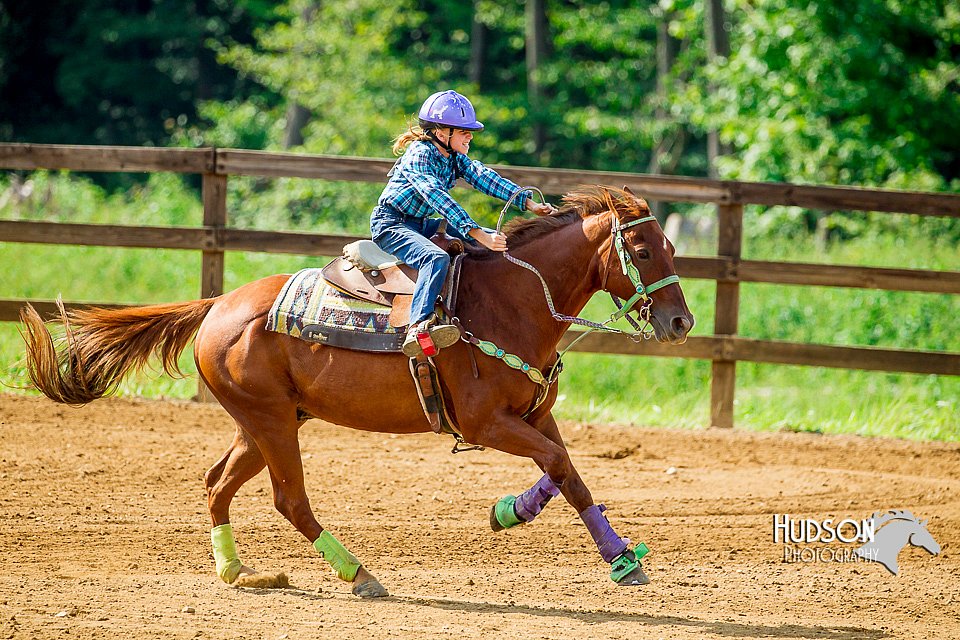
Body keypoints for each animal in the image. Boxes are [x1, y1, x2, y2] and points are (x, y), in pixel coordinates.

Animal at [20, 185, 688, 596]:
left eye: (672, 246)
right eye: (642, 247)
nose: (681, 323)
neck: (510, 301)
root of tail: (216, 306)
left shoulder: (535, 414)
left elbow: (569, 474)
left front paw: (612, 556)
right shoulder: (485, 423)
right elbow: (558, 465)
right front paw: (523, 517)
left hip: (264, 422)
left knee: (216, 483)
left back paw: (238, 571)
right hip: (272, 423)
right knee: (289, 500)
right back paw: (360, 574)